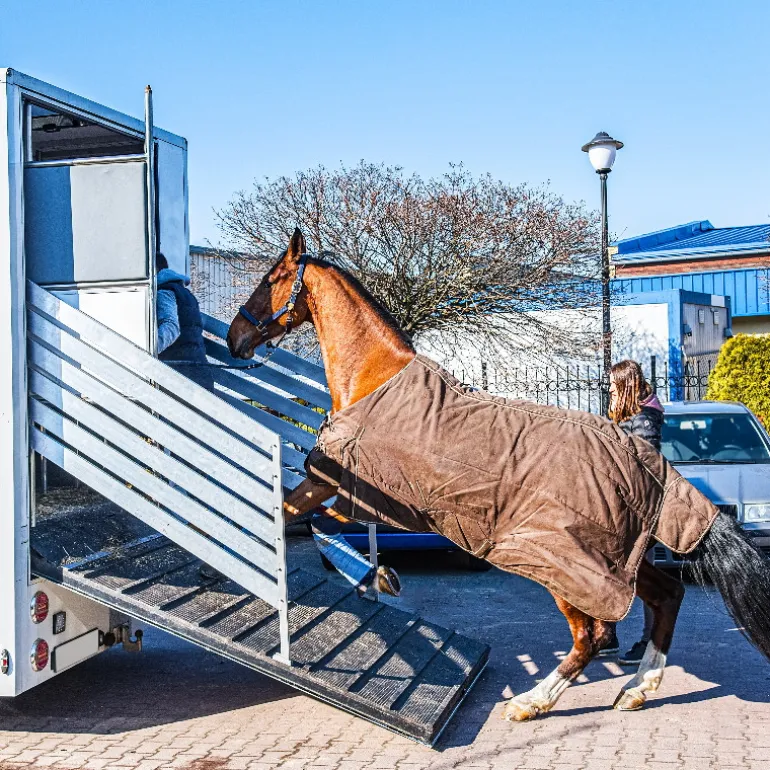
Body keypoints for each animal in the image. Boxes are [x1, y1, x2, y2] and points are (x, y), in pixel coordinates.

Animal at [226, 228, 770, 722]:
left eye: (271, 279)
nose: (235, 338)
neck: (374, 379)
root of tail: (648, 463)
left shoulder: (340, 487)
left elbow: (299, 517)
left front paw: (372, 573)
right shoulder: (365, 498)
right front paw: (376, 574)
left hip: (561, 562)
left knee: (592, 635)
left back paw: (534, 701)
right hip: (618, 558)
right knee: (667, 596)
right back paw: (636, 689)